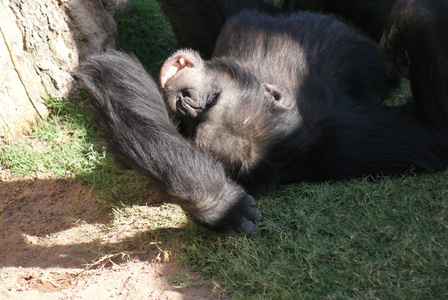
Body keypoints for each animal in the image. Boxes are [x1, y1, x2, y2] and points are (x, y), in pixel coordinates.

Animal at [77, 0, 448, 234]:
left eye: (210, 105)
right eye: (190, 122)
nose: (186, 103)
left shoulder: (342, 136)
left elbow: (433, 131)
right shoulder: (342, 145)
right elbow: (432, 134)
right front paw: (221, 204)